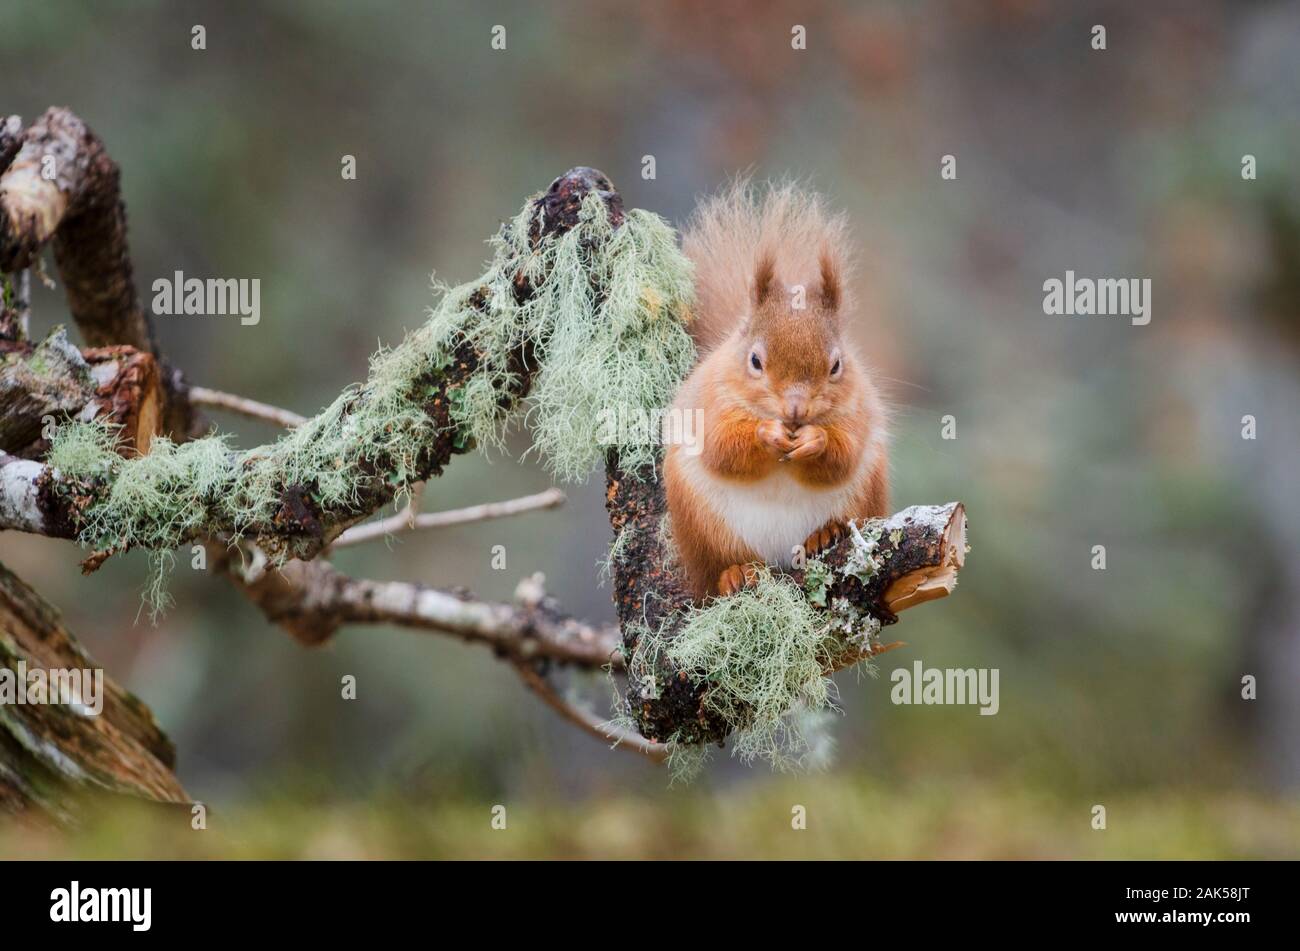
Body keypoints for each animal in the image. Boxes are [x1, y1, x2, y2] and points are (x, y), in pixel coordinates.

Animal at [665, 181, 889, 597]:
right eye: (755, 360)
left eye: (836, 366)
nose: (795, 410)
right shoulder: (710, 402)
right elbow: (722, 447)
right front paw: (765, 433)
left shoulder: (858, 411)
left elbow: (844, 455)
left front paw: (815, 440)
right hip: (703, 526)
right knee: (719, 566)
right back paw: (736, 572)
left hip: (864, 497)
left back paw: (824, 534)